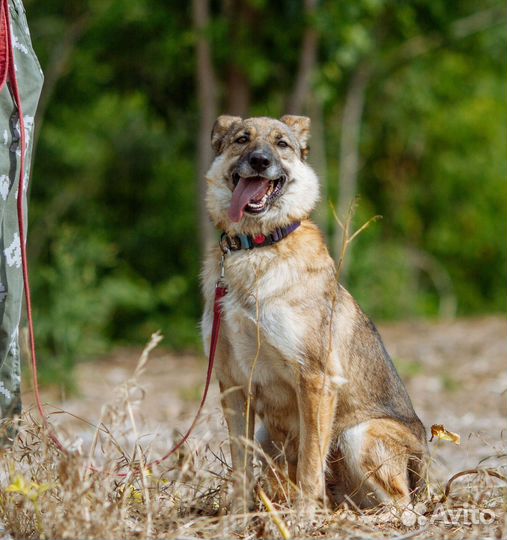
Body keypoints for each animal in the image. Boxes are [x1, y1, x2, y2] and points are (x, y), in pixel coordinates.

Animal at [200, 116, 426, 508]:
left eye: (282, 144)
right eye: (242, 139)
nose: (260, 161)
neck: (257, 247)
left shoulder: (315, 379)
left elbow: (309, 464)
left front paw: (303, 515)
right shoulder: (233, 384)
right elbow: (240, 466)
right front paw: (238, 515)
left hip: (356, 435)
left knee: (404, 507)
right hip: (268, 435)